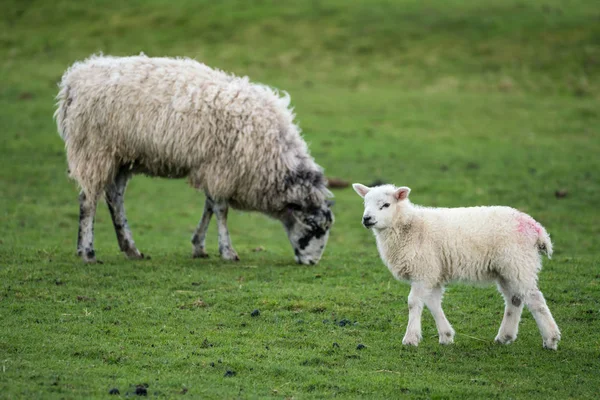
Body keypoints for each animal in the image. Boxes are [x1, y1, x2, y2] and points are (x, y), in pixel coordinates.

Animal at [54, 54, 336, 266]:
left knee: (114, 197)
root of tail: (74, 80)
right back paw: (88, 252)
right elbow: (221, 210)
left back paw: (130, 249)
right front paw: (227, 251)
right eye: (314, 227)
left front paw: (199, 246)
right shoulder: (222, 168)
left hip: (121, 155)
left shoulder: (213, 168)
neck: (274, 153)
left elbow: (209, 206)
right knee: (88, 200)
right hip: (94, 149)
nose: (313, 263)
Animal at [354, 184, 560, 350]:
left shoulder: (424, 271)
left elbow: (413, 302)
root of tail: (535, 227)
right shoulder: (434, 273)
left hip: (518, 263)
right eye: (365, 203)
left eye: (386, 205)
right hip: (506, 269)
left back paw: (550, 339)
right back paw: (505, 336)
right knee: (514, 300)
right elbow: (433, 304)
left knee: (535, 299)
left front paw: (411, 339)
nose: (367, 219)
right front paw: (446, 336)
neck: (410, 227)